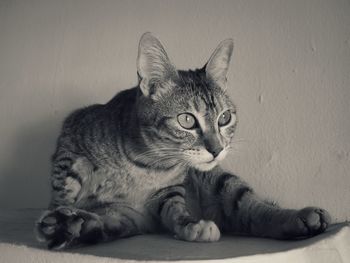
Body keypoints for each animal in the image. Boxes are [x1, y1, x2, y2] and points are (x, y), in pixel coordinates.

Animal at [35, 32, 330, 250]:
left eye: (224, 118)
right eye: (187, 120)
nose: (217, 149)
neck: (146, 167)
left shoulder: (171, 189)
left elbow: (177, 210)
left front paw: (190, 225)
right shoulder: (71, 141)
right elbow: (64, 187)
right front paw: (60, 215)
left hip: (221, 181)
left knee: (254, 212)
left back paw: (301, 218)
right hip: (126, 215)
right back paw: (71, 226)